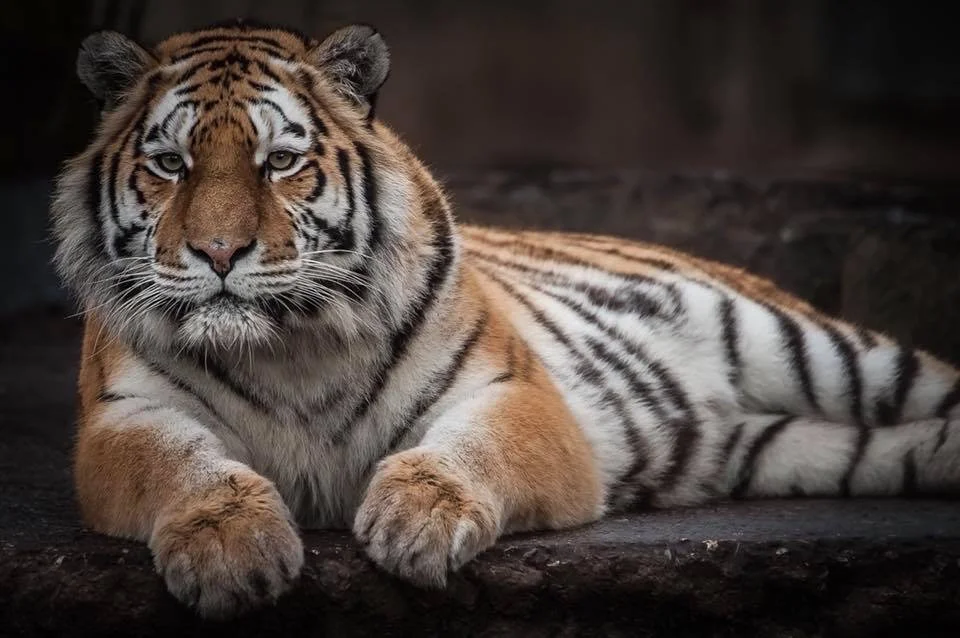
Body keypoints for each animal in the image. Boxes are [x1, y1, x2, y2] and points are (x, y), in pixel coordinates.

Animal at [50, 20, 960, 619]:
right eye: (170, 164)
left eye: (280, 162)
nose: (218, 251)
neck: (289, 344)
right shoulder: (124, 416)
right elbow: (181, 464)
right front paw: (230, 549)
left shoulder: (513, 390)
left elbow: (469, 447)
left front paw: (417, 520)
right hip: (788, 448)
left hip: (817, 349)